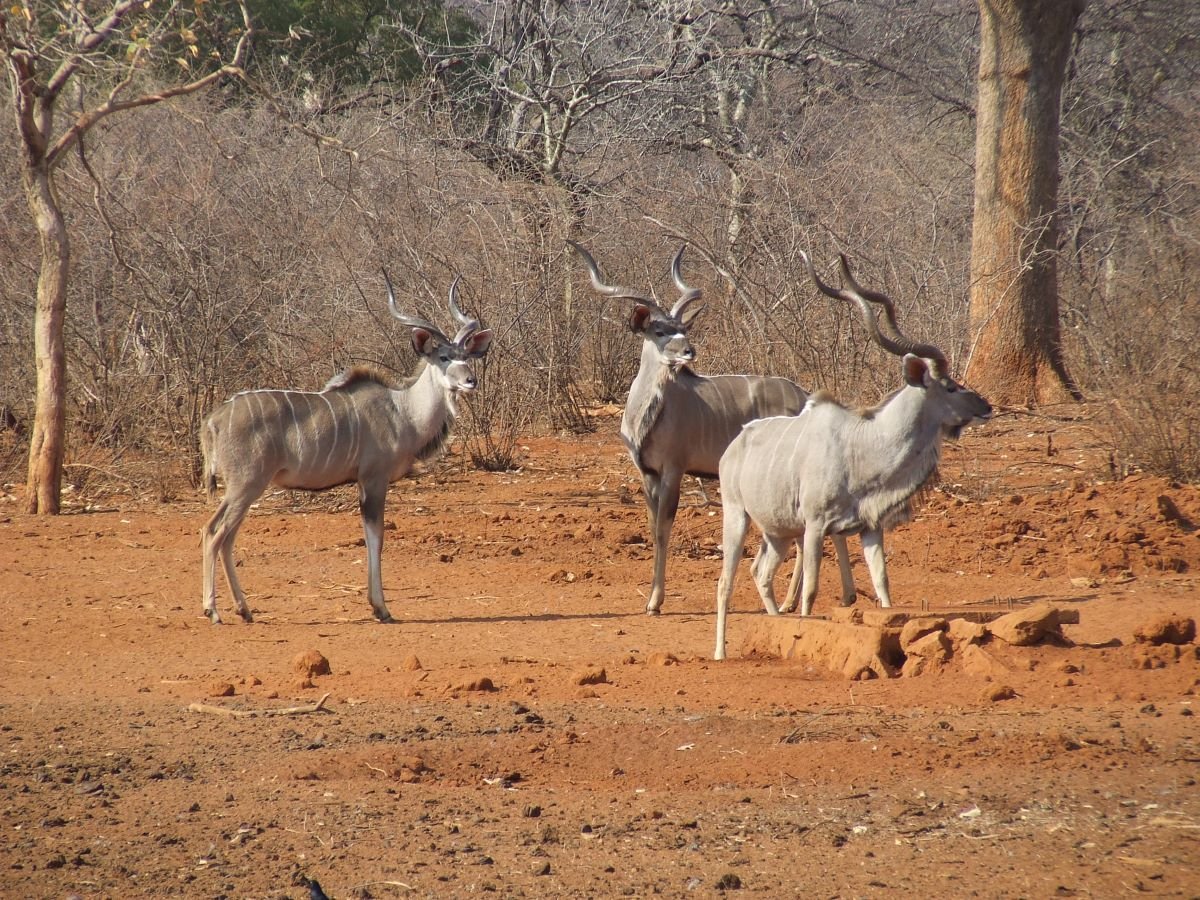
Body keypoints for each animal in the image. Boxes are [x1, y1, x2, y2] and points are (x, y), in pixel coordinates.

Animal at [201, 274, 492, 628]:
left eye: (467, 355)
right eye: (443, 357)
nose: (470, 381)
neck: (402, 411)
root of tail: (214, 420)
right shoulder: (373, 479)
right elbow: (376, 537)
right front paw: (381, 609)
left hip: (242, 488)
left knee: (220, 533)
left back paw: (244, 610)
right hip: (246, 484)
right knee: (215, 534)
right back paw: (213, 611)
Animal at [568, 240, 859, 619]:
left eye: (684, 329)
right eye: (659, 331)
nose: (689, 351)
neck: (650, 413)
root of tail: (805, 397)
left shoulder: (674, 470)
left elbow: (663, 529)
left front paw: (655, 602)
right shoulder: (646, 473)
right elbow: (652, 526)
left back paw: (823, 598)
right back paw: (799, 600)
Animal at [715, 254, 988, 662]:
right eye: (951, 386)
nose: (986, 406)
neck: (863, 445)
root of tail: (735, 445)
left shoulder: (869, 527)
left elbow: (882, 584)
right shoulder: (815, 526)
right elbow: (811, 590)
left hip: (778, 532)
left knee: (760, 573)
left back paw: (774, 622)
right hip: (738, 516)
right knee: (726, 582)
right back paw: (720, 652)